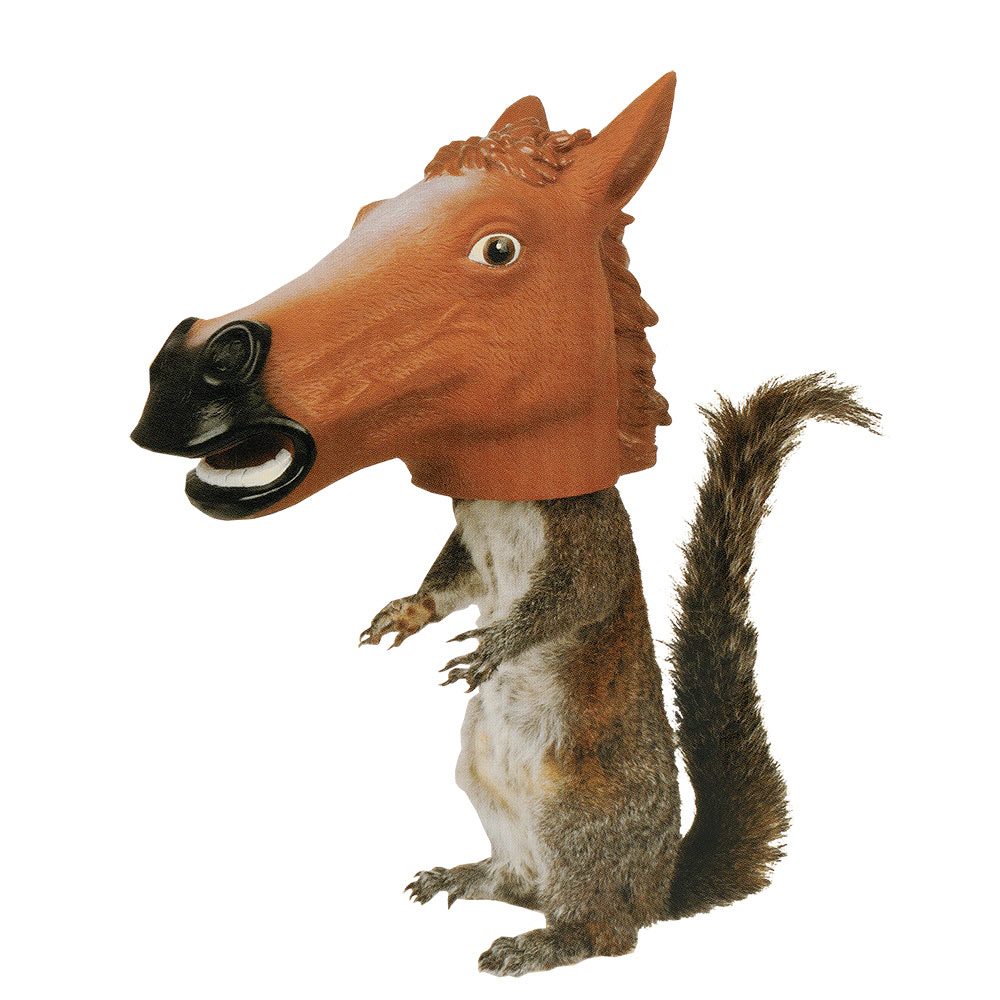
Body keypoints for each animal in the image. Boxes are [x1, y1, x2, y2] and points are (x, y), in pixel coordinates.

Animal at [359, 373, 878, 976]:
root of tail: (656, 889)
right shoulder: (469, 531)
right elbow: (453, 579)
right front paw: (406, 612)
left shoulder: (585, 530)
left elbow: (579, 593)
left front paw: (496, 644)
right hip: (482, 779)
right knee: (520, 883)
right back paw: (465, 878)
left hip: (578, 819)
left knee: (607, 931)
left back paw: (545, 943)